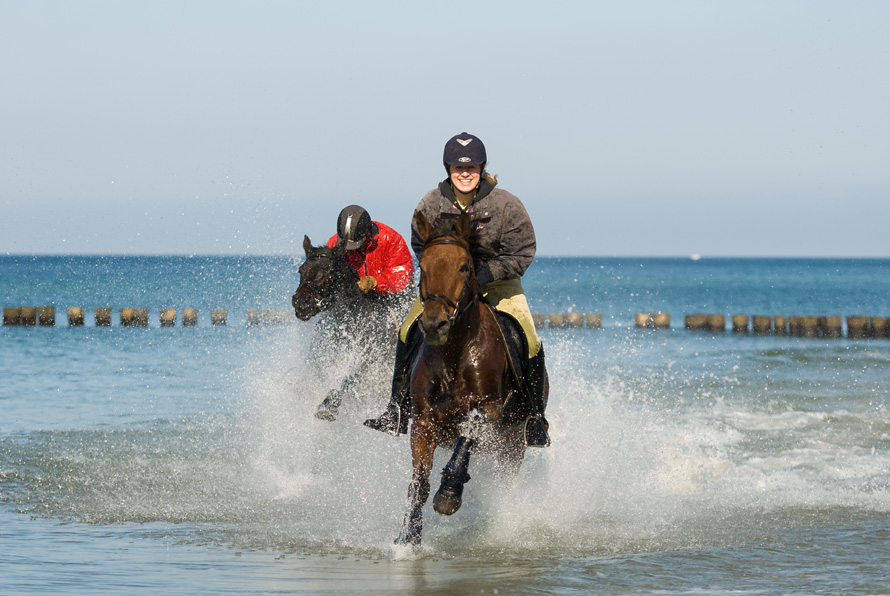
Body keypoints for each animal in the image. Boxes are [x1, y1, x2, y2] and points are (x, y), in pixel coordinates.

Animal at [292, 235, 406, 422]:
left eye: (330, 271)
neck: (350, 325)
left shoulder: (368, 364)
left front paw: (329, 405)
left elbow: (349, 379)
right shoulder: (321, 362)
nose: (302, 302)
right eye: (301, 270)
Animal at [398, 212, 536, 548]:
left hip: (513, 445)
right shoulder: (423, 423)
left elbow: (469, 428)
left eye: (464, 267)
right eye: (423, 266)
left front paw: (448, 494)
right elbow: (419, 483)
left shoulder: (489, 409)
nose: (434, 324)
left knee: (505, 483)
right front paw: (408, 537)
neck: (455, 353)